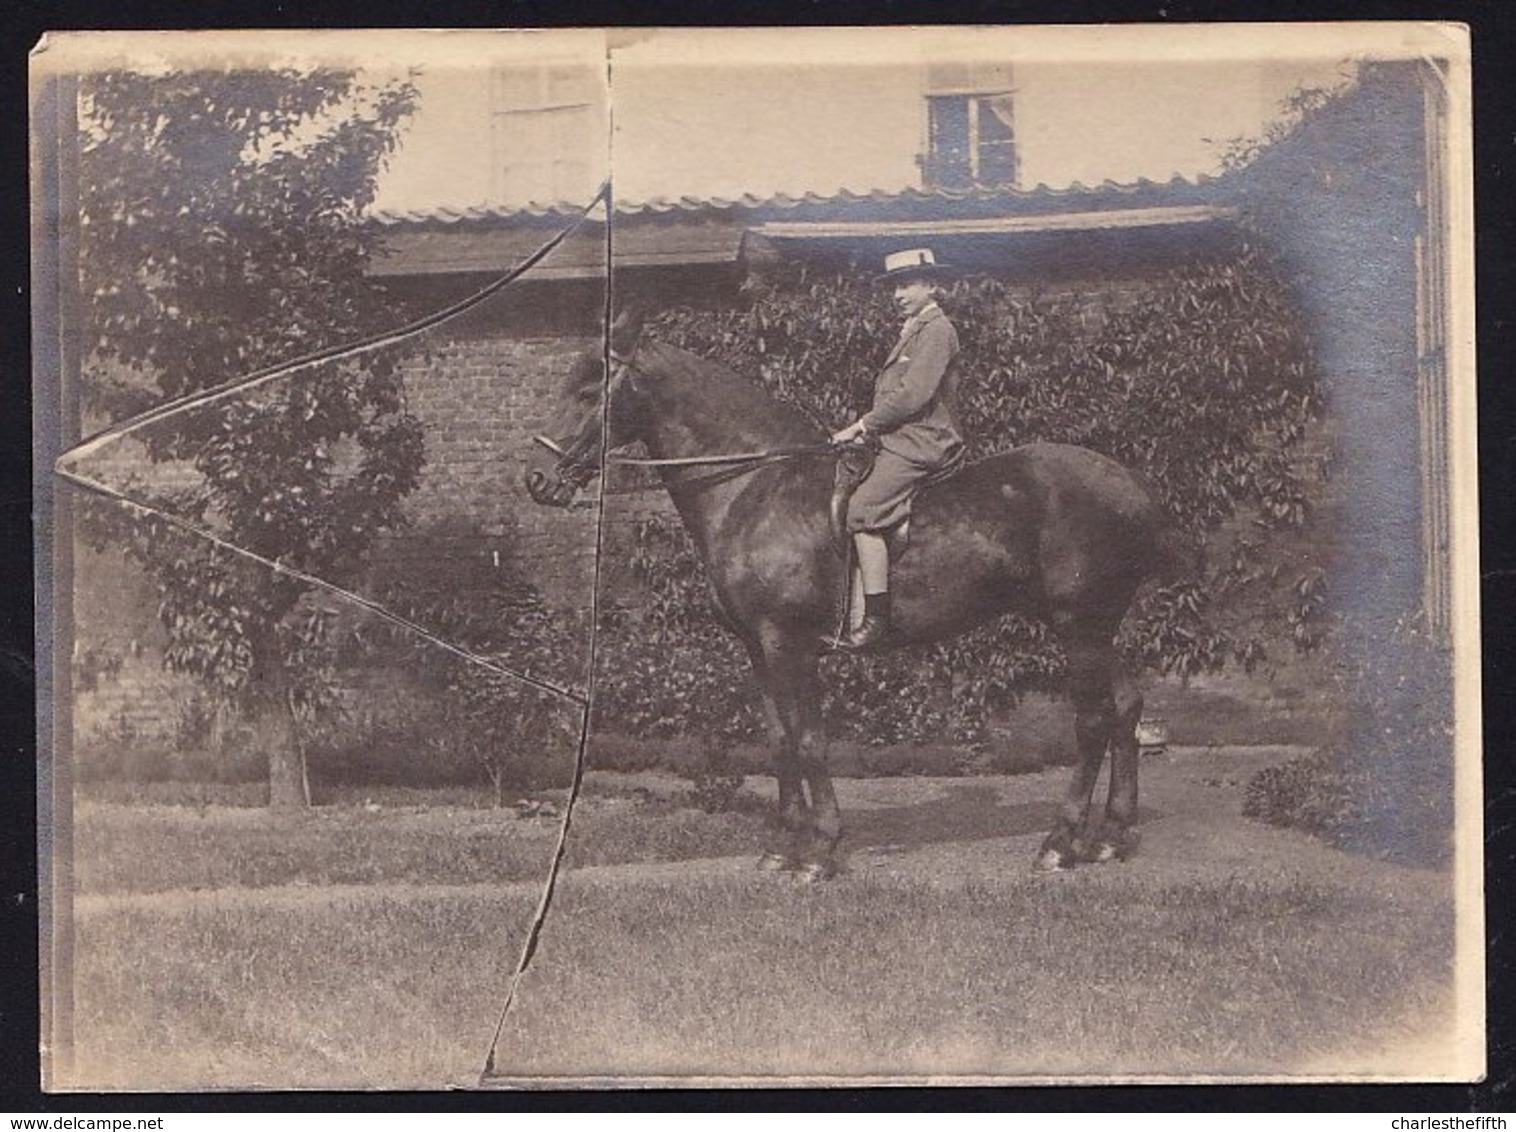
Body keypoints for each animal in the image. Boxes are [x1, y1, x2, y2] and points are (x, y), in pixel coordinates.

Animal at [533, 313, 1170, 878]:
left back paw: (1061, 843)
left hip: (1080, 625)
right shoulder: (758, 647)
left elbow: (810, 740)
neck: (756, 486)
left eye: (589, 390)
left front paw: (820, 852)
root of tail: (1132, 483)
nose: (537, 481)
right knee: (1126, 706)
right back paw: (1111, 836)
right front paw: (781, 848)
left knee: (1094, 720)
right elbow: (779, 740)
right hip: (1093, 627)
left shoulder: (788, 643)